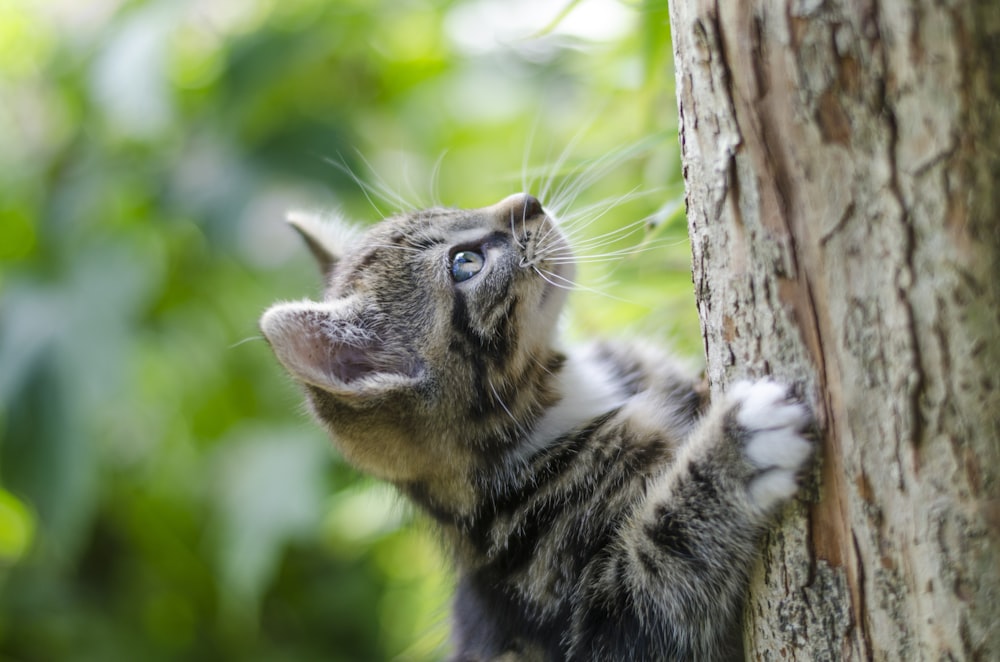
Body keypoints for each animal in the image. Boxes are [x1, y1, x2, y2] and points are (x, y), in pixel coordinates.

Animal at [262, 193, 816, 662]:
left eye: (452, 208)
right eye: (465, 263)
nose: (527, 202)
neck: (565, 394)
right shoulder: (593, 624)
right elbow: (662, 566)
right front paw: (737, 449)